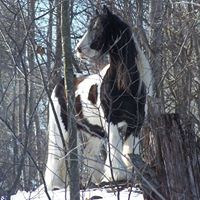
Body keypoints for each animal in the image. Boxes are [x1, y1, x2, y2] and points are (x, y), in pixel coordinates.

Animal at [45, 5, 152, 189]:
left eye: (98, 27)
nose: (79, 49)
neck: (124, 86)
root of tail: (60, 83)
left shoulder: (136, 123)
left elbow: (130, 152)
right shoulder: (112, 121)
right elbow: (115, 149)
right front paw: (118, 176)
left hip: (93, 132)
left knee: (89, 155)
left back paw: (96, 180)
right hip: (61, 129)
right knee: (58, 156)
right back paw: (55, 185)